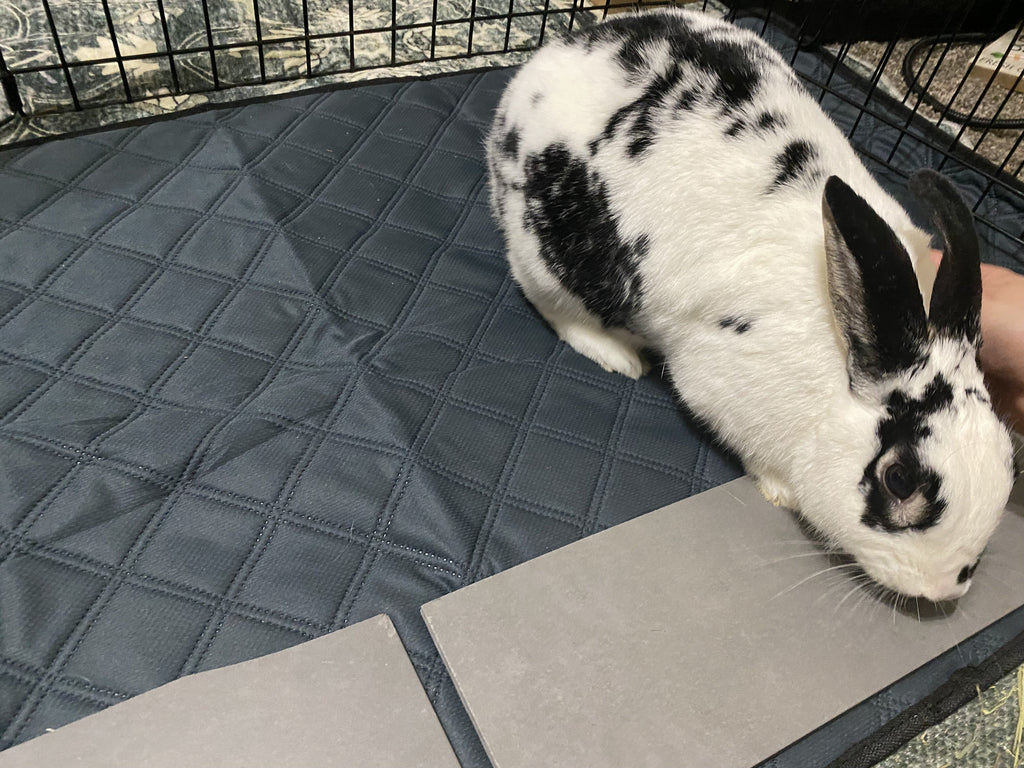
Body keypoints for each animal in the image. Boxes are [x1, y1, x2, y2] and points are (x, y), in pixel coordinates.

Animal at [486, 7, 1016, 603]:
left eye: (1008, 459)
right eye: (899, 479)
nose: (945, 587)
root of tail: (530, 74)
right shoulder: (718, 386)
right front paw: (781, 492)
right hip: (550, 258)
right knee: (551, 304)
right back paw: (620, 356)